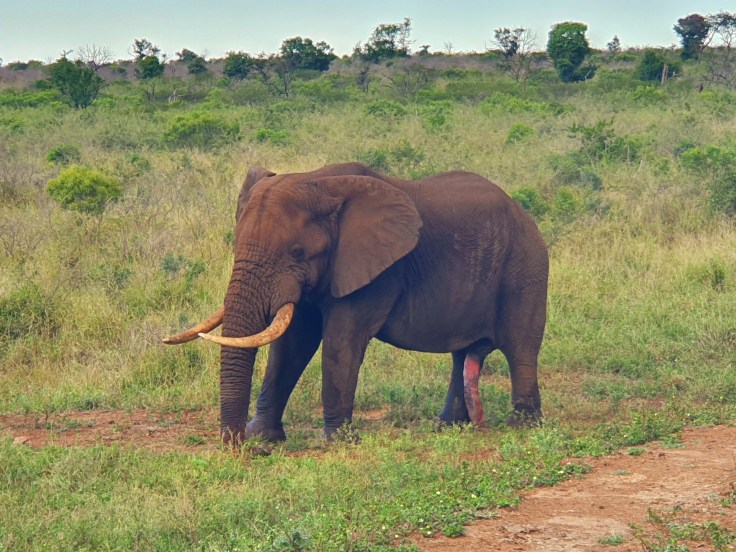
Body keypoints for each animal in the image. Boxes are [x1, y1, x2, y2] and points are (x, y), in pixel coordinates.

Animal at [164, 162, 548, 443]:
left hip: (525, 268)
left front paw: (336, 442)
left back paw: (522, 426)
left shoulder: (377, 272)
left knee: (520, 348)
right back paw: (447, 427)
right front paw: (264, 439)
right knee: (462, 354)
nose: (236, 445)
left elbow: (341, 340)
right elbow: (292, 344)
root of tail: (523, 212)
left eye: (297, 252)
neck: (319, 181)